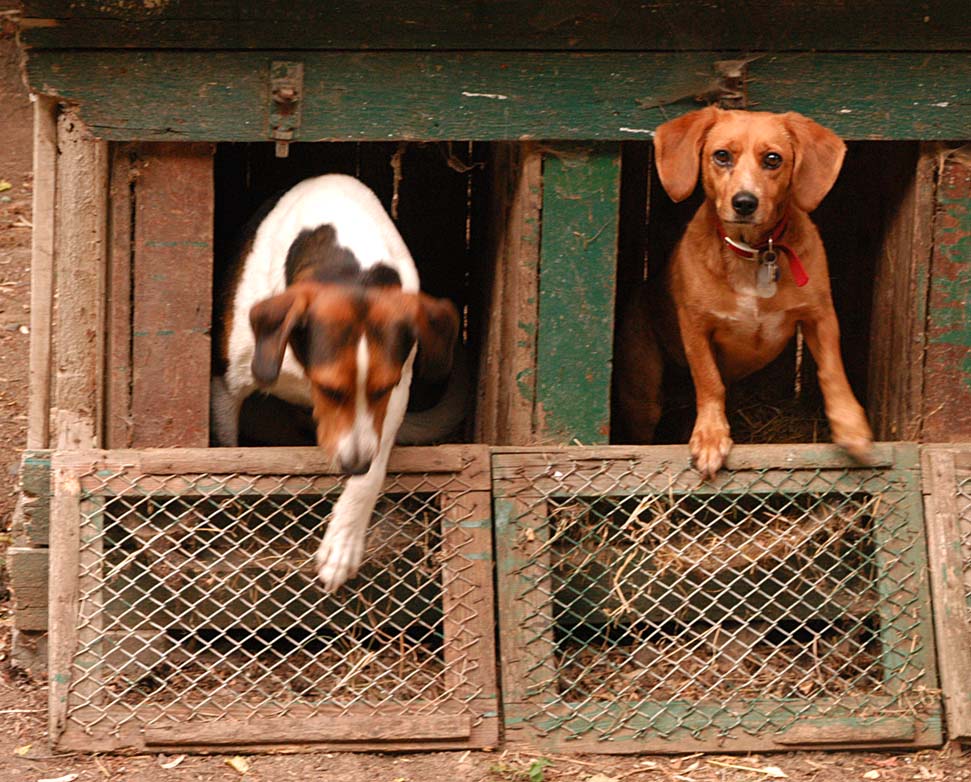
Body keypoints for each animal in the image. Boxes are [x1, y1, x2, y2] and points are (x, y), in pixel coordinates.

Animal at [215, 175, 458, 592]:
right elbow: (227, 463)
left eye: (382, 389)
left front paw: (343, 544)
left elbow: (373, 472)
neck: (351, 265)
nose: (353, 464)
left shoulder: (395, 398)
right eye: (329, 390)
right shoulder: (226, 388)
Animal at [620, 108, 876, 478]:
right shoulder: (696, 328)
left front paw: (850, 425)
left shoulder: (820, 316)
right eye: (721, 155)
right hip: (643, 396)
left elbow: (832, 370)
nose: (744, 202)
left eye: (773, 159)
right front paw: (711, 437)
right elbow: (709, 381)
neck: (752, 252)